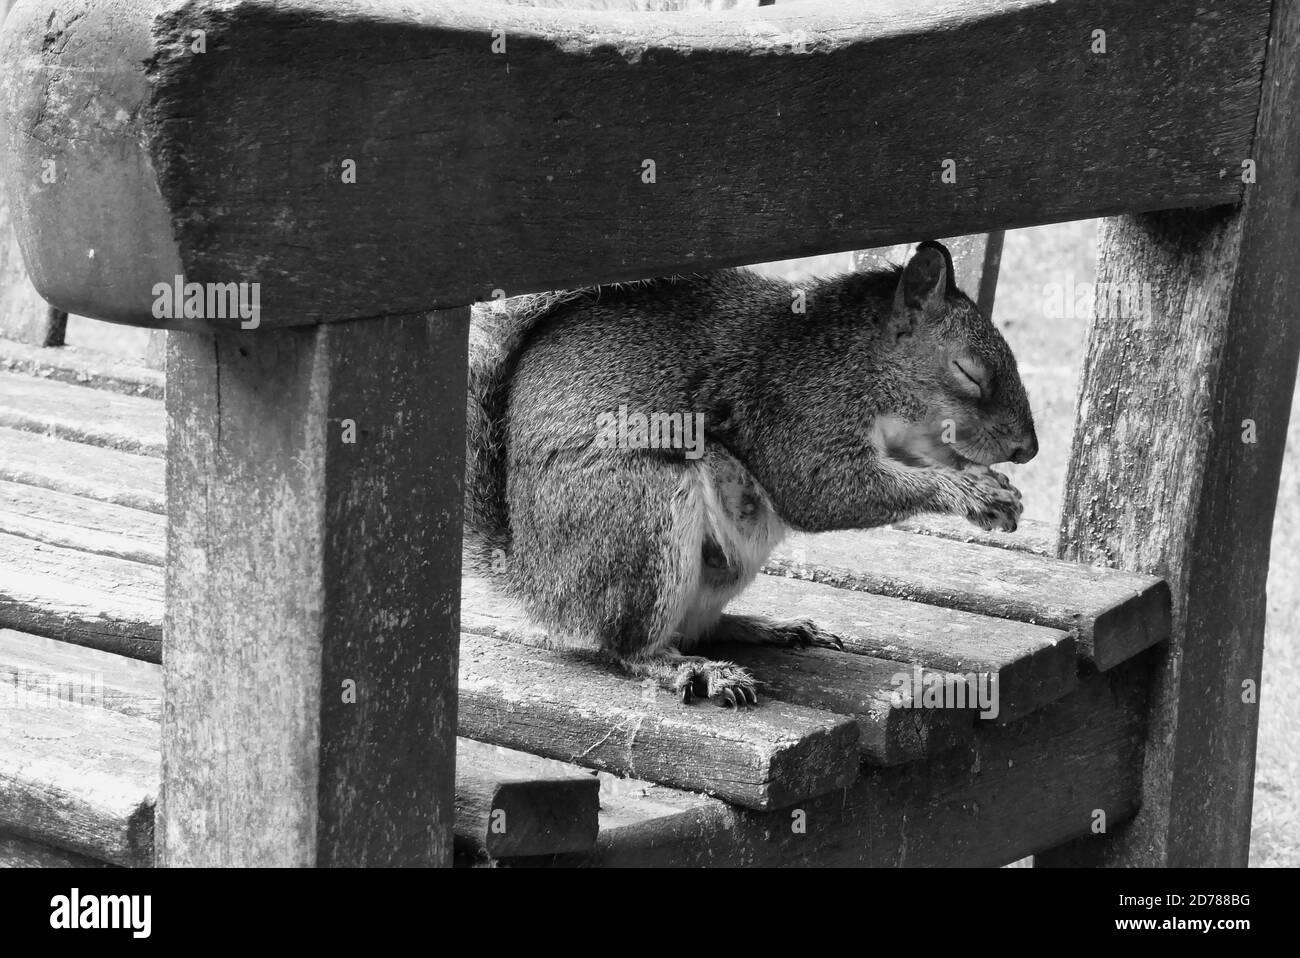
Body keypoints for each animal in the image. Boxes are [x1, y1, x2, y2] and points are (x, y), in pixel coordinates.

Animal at [465, 239, 1034, 701]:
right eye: (968, 373)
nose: (1026, 449)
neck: (855, 360)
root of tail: (532, 578)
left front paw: (992, 485)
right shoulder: (796, 413)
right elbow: (823, 492)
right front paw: (970, 492)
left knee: (700, 625)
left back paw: (762, 628)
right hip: (639, 514)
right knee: (625, 646)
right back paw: (688, 669)